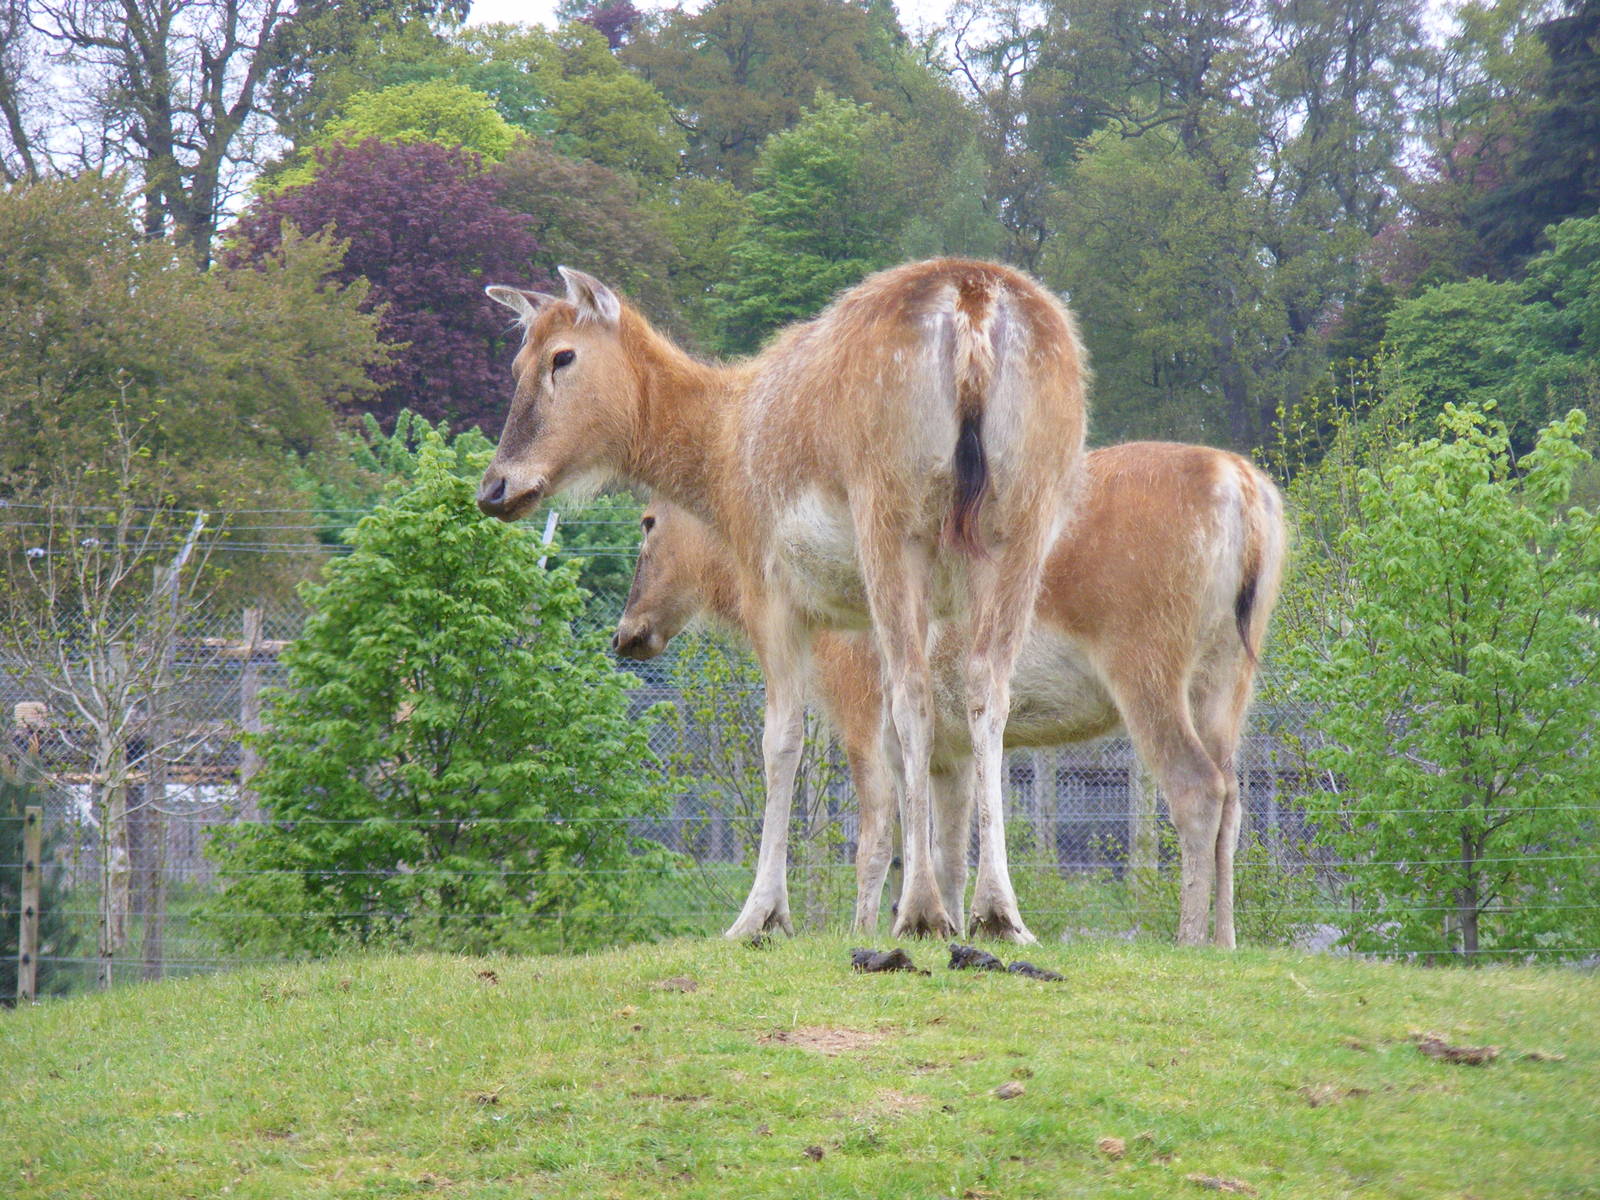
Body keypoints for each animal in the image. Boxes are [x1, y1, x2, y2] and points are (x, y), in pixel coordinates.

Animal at [478, 261, 1089, 943]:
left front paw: (760, 915)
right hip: (1026, 512)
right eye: (516, 361)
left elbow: (783, 739)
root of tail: (973, 301)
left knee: (912, 692)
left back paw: (920, 909)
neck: (720, 458)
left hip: (891, 509)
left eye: (563, 355)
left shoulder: (768, 580)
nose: (495, 487)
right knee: (987, 687)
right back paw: (999, 912)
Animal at [612, 441, 1287, 947]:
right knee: (1234, 794)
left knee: (1197, 786)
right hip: (1229, 677)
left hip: (1146, 658)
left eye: (648, 520)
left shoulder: (863, 710)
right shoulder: (951, 746)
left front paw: (864, 931)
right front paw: (951, 926)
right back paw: (1226, 941)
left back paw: (1189, 938)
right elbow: (948, 853)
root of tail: (1246, 494)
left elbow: (877, 841)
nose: (625, 633)